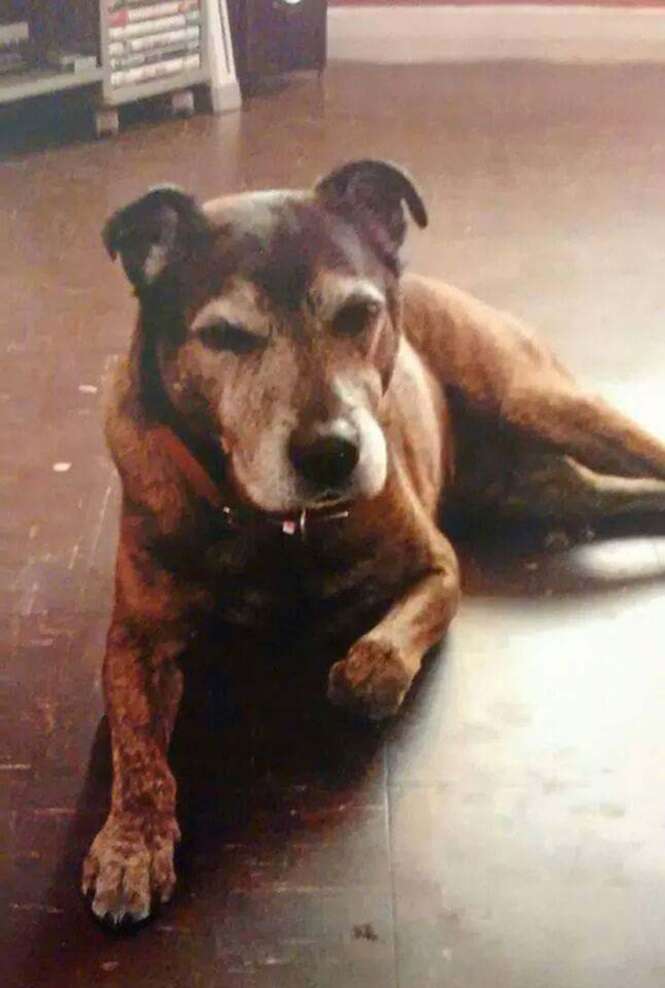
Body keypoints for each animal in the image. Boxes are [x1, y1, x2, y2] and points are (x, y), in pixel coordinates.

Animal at [81, 162, 664, 928]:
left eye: (357, 315)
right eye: (225, 335)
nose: (331, 452)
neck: (273, 523)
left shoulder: (436, 568)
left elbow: (377, 665)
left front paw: (356, 670)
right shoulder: (136, 640)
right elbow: (137, 748)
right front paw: (131, 844)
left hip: (541, 401)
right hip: (545, 486)